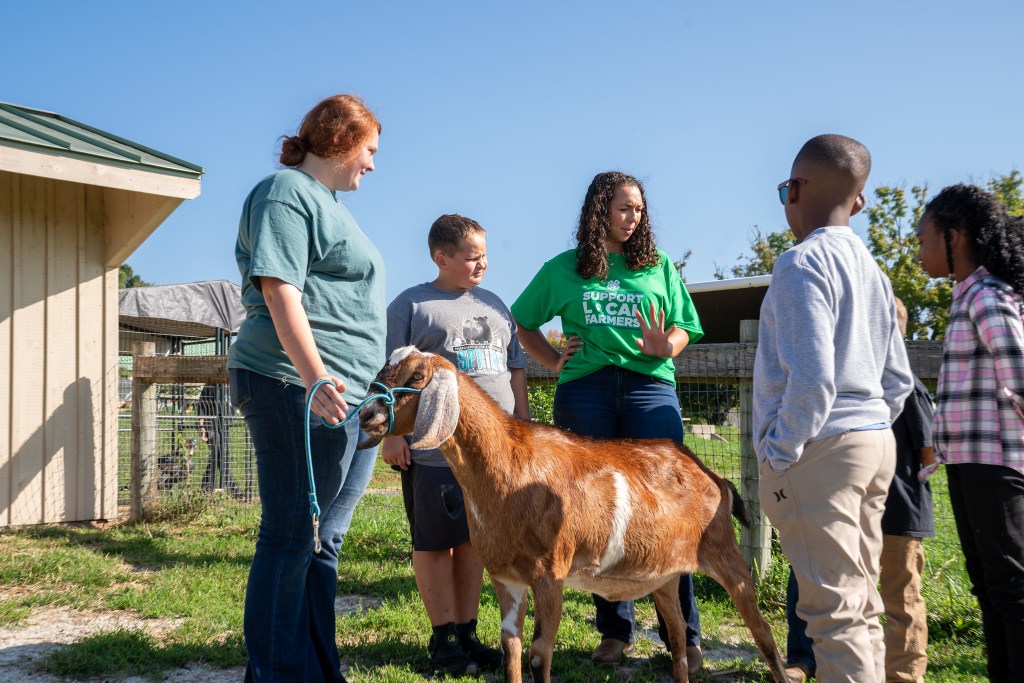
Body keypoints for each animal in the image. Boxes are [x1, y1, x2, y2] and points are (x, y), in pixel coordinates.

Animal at [364, 350, 786, 679]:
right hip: (663, 575)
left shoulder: (551, 574)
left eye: (416, 376)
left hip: (726, 556)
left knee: (764, 636)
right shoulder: (505, 577)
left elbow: (538, 656)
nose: (367, 415)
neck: (511, 466)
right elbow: (511, 650)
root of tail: (713, 477)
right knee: (679, 637)